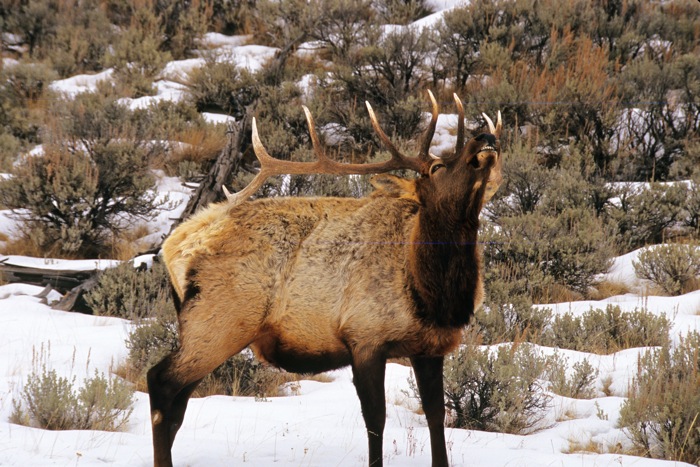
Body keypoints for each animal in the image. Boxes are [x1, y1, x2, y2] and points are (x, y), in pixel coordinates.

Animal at [147, 91, 503, 467]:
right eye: (436, 168)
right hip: (219, 321)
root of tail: (173, 246)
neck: (432, 295)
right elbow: (376, 420)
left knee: (178, 404)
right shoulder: (364, 336)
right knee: (161, 382)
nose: (485, 137)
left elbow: (437, 416)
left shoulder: (430, 347)